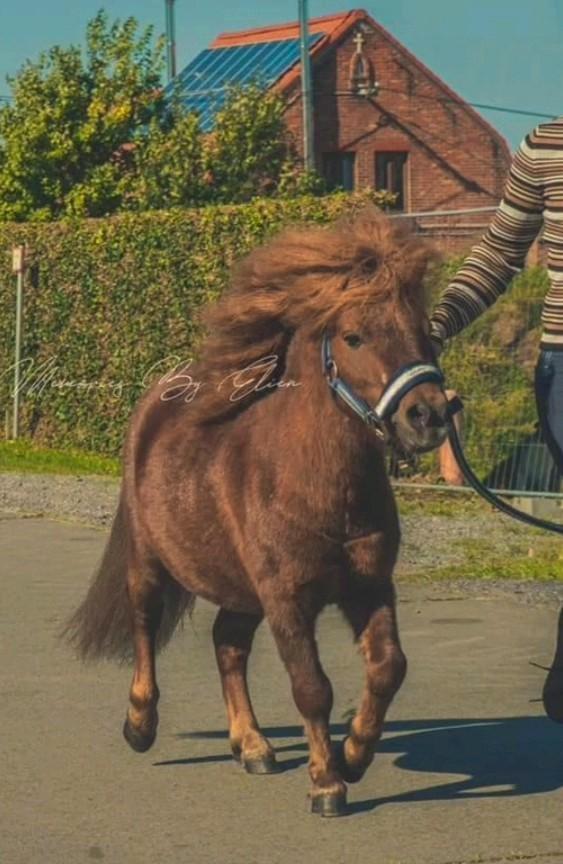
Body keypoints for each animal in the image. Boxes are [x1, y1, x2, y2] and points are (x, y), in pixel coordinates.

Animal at [64, 206, 448, 817]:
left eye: (424, 329)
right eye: (354, 336)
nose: (429, 416)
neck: (315, 482)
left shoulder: (368, 585)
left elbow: (388, 667)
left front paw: (354, 753)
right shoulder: (287, 598)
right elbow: (311, 687)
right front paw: (327, 783)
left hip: (241, 589)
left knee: (228, 643)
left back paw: (253, 745)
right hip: (151, 561)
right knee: (146, 625)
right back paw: (141, 724)